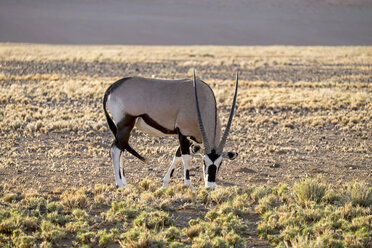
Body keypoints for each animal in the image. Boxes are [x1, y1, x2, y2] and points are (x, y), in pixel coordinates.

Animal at [103, 70, 238, 189]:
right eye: (204, 162)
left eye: (220, 163)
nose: (210, 187)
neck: (203, 102)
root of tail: (113, 87)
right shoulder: (183, 133)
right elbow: (186, 158)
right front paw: (188, 185)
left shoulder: (190, 138)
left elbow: (177, 157)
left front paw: (165, 184)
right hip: (125, 125)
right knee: (115, 149)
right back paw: (120, 185)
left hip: (125, 128)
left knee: (121, 149)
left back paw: (125, 184)